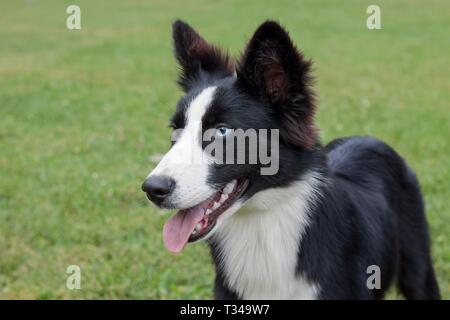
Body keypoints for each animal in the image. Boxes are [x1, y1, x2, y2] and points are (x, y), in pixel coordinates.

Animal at [142, 20, 442, 300]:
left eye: (222, 131)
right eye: (175, 130)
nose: (152, 189)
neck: (262, 223)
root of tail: (368, 138)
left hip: (418, 269)